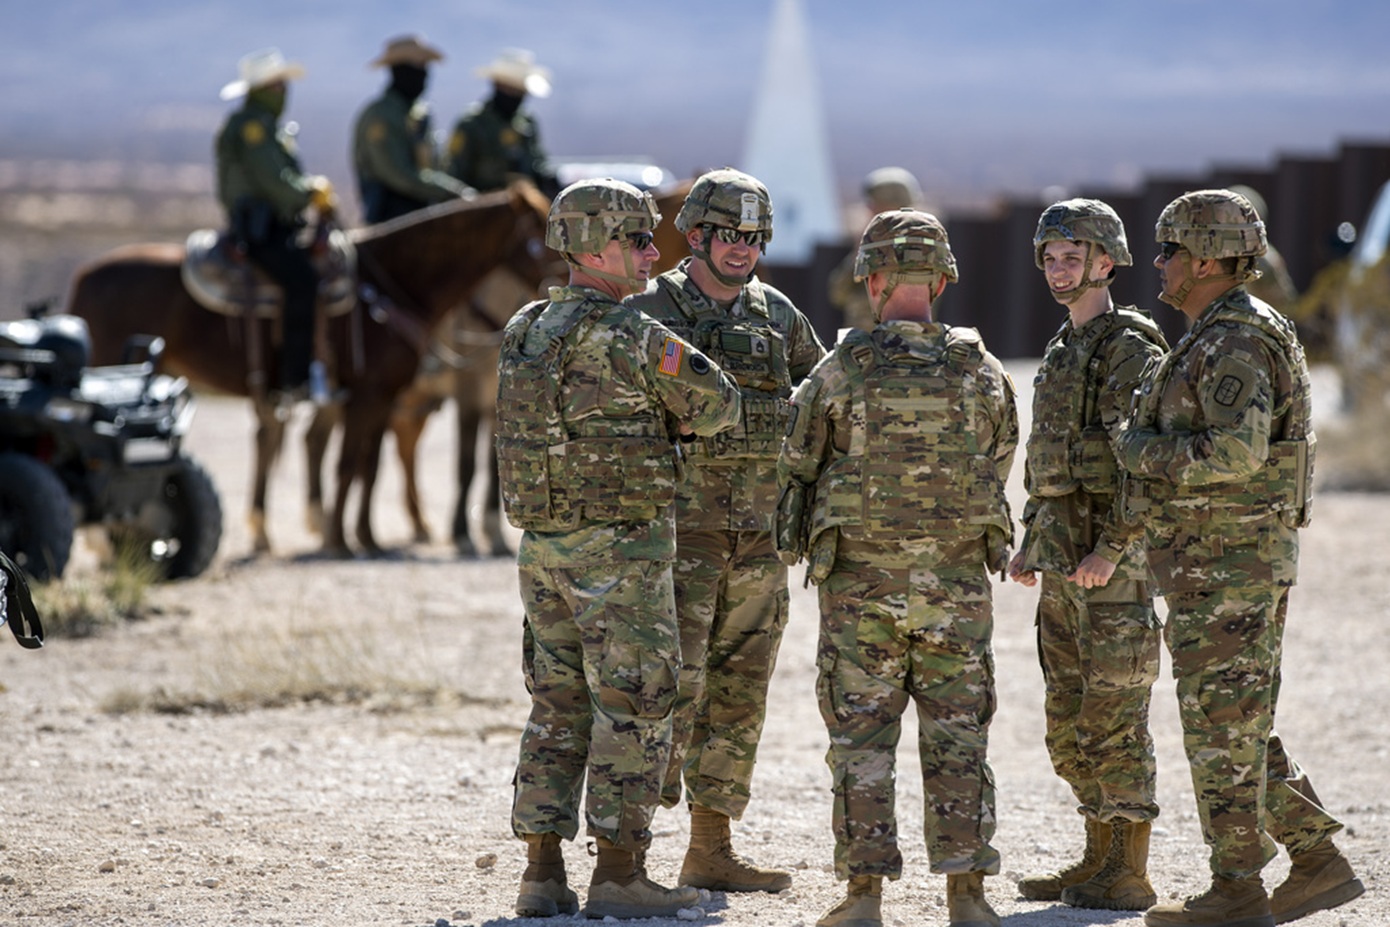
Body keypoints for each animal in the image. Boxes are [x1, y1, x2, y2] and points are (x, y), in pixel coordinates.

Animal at [63, 182, 553, 558]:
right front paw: (343, 541)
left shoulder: (384, 396)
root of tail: (84, 275)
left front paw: (367, 539)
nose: (558, 283)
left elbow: (368, 465)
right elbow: (354, 464)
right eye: (540, 234)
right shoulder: (375, 395)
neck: (389, 285)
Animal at [380, 180, 695, 558]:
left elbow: (492, 463)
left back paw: (410, 525)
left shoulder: (492, 393)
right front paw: (463, 535)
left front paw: (492, 533)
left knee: (403, 442)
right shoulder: (468, 387)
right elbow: (467, 465)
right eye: (644, 241)